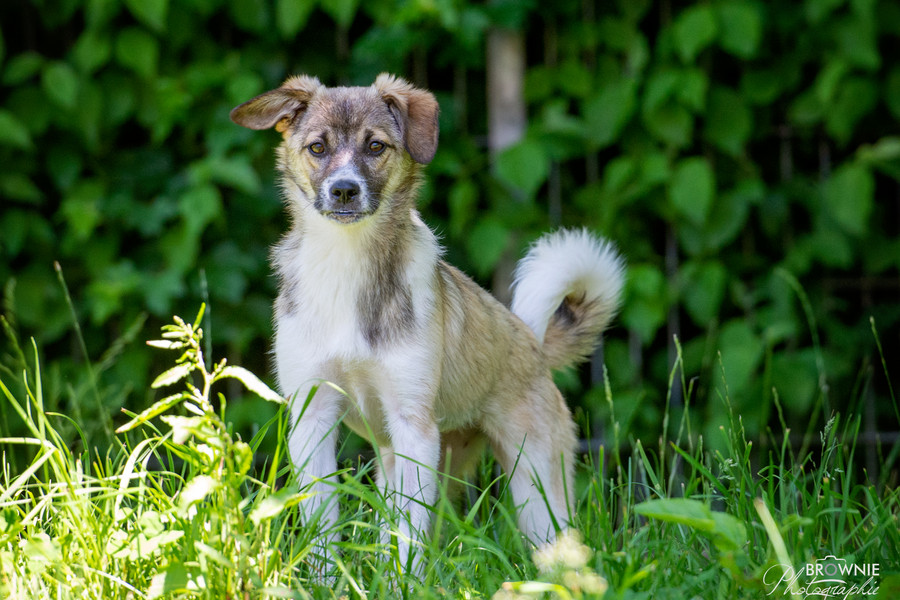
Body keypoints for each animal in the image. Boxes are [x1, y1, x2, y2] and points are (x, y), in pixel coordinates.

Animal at [230, 75, 624, 572]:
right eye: (317, 147)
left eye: (376, 146)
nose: (344, 190)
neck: (347, 264)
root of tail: (531, 341)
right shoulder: (312, 417)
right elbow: (323, 530)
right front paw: (323, 581)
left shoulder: (413, 424)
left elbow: (409, 537)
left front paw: (403, 581)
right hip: (404, 463)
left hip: (535, 482)